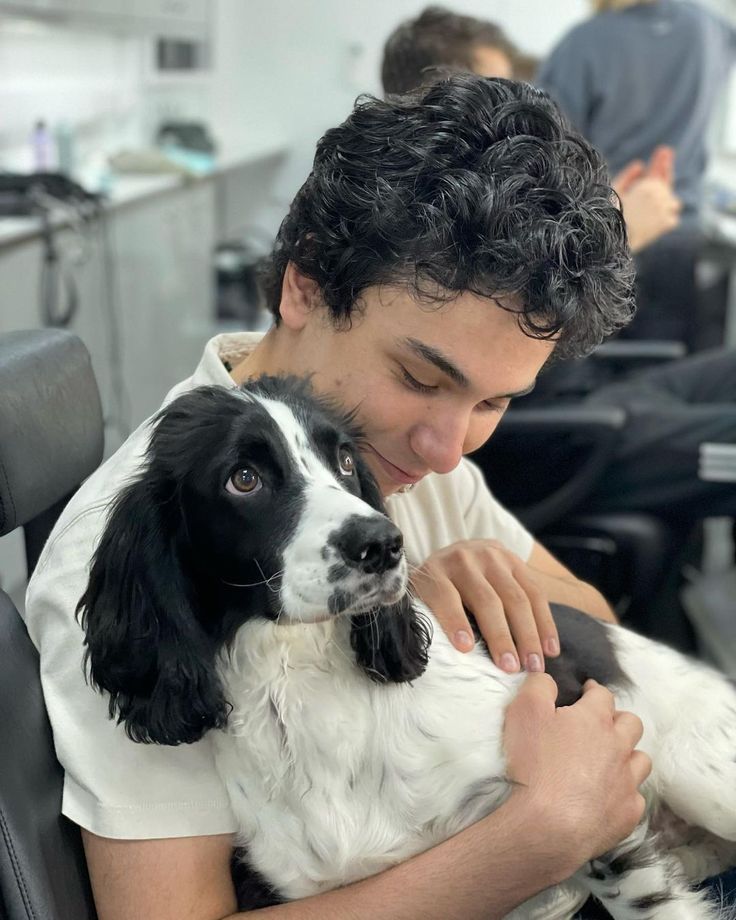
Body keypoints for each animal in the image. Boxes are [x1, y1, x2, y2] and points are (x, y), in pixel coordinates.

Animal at [76, 378, 736, 916]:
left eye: (345, 460)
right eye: (244, 478)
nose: (383, 543)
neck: (295, 680)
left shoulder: (589, 793)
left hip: (698, 776)